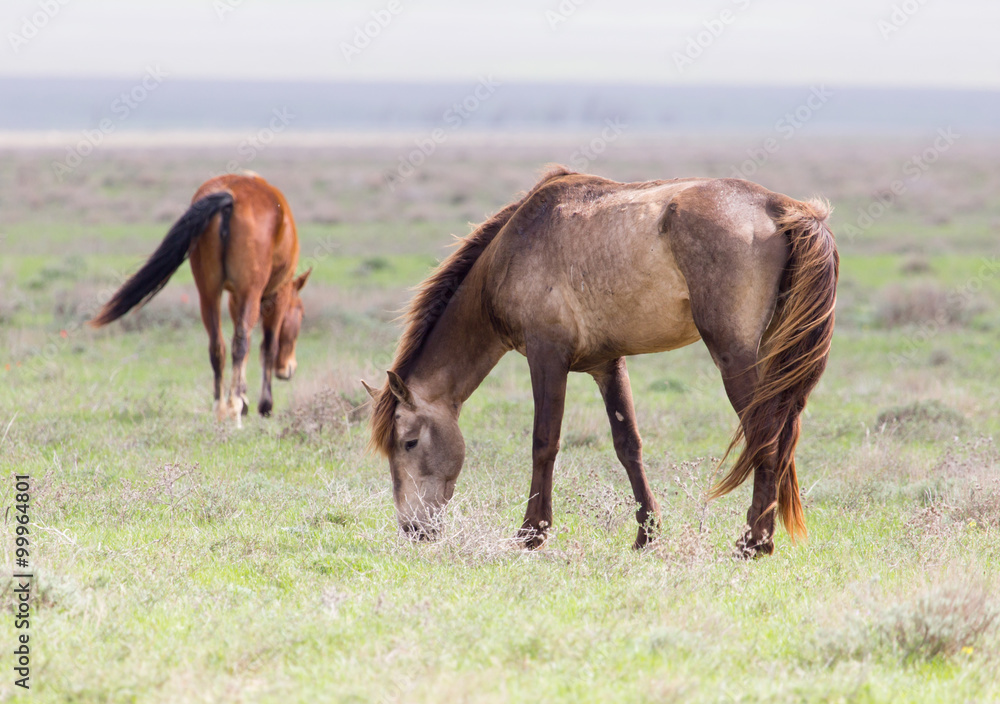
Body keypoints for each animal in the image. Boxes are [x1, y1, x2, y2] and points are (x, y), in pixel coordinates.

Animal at [90, 173, 311, 427]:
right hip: (245, 292)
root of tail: (230, 196)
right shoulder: (274, 296)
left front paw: (244, 396)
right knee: (240, 344)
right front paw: (263, 405)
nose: (288, 369)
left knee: (217, 347)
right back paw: (234, 412)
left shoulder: (234, 297)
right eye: (301, 313)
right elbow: (268, 346)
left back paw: (220, 410)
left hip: (208, 292)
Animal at [364, 167, 838, 557]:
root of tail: (779, 206)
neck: (512, 250)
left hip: (733, 356)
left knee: (764, 436)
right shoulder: (608, 364)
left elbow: (544, 442)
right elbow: (628, 445)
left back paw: (753, 542)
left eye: (409, 442)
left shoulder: (546, 357)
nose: (413, 529)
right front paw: (647, 535)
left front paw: (531, 533)